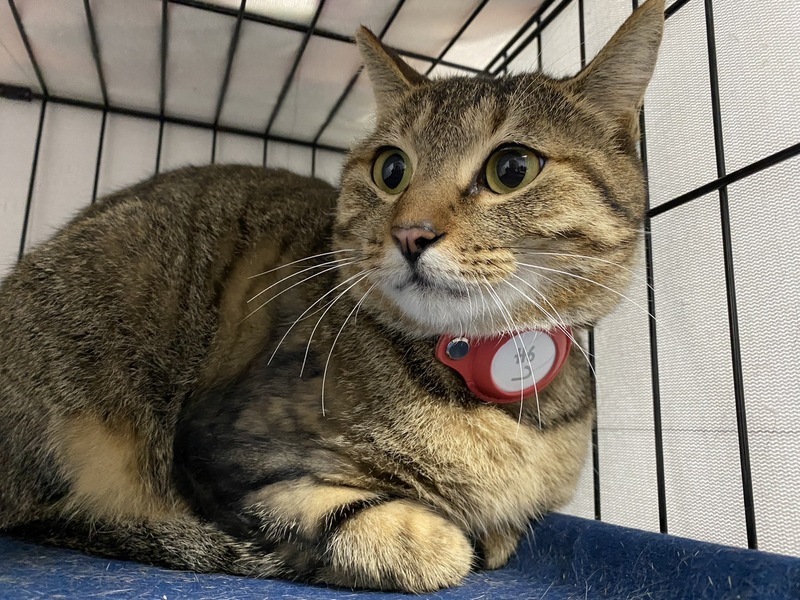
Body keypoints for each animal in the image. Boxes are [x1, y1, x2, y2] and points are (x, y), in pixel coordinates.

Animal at [0, 0, 664, 592]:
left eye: (512, 168)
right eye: (391, 169)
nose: (411, 232)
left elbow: (504, 533)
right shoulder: (221, 445)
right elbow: (411, 541)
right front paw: (445, 538)